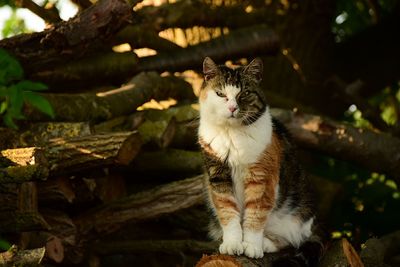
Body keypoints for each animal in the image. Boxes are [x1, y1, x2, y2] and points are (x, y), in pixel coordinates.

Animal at [198, 57, 324, 266]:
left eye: (245, 93)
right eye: (220, 94)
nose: (232, 108)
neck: (232, 135)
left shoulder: (262, 177)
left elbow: (256, 214)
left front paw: (251, 246)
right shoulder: (218, 175)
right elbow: (227, 210)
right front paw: (233, 243)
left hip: (298, 212)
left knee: (292, 239)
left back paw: (265, 243)